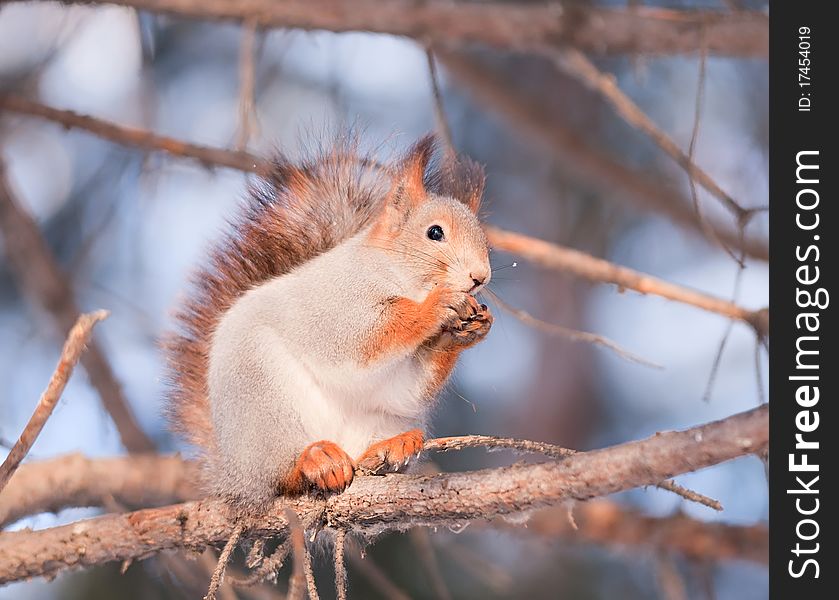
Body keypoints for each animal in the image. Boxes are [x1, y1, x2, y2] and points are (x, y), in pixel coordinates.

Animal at [164, 134, 492, 508]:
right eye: (434, 233)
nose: (480, 276)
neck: (398, 275)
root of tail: (231, 474)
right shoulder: (334, 306)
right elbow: (363, 340)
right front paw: (437, 305)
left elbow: (409, 384)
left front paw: (469, 330)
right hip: (263, 402)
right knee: (281, 477)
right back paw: (314, 460)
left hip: (383, 418)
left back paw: (390, 448)